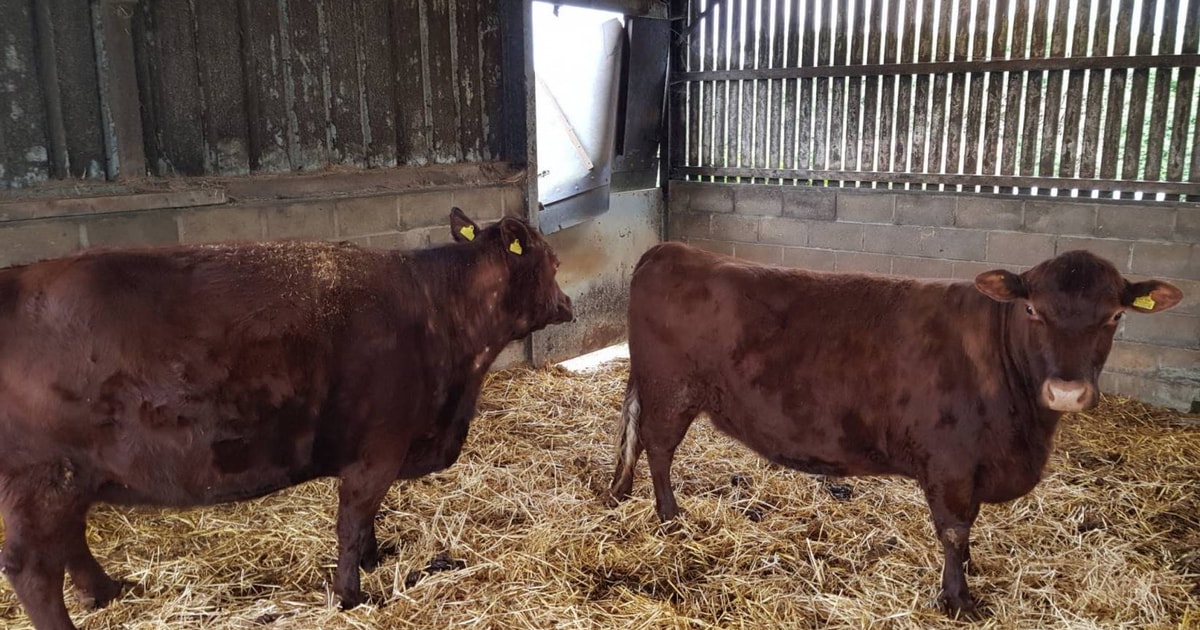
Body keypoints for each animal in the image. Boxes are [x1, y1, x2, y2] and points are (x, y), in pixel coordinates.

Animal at [0, 207, 572, 630]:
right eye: (555, 263)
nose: (568, 303)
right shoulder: (379, 448)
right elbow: (352, 519)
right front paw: (351, 594)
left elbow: (365, 521)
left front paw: (374, 558)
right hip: (42, 480)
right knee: (32, 568)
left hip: (68, 477)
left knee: (70, 542)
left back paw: (106, 591)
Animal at [606, 242, 1182, 617]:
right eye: (1032, 308)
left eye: (1114, 316)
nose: (1066, 390)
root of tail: (673, 250)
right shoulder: (949, 463)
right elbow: (954, 530)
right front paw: (958, 600)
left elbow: (966, 532)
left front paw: (967, 575)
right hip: (671, 391)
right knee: (659, 448)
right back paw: (670, 516)